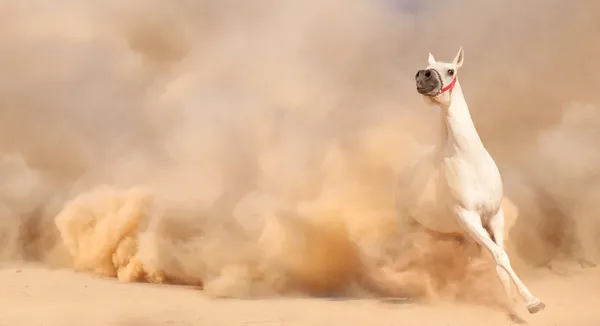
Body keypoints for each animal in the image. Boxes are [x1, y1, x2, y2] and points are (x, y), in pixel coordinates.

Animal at [396, 47, 548, 314]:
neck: (469, 161)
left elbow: (499, 256)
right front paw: (531, 302)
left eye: (450, 70)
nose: (423, 76)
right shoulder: (469, 218)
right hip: (411, 223)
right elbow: (500, 256)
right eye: (429, 69)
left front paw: (512, 303)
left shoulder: (494, 216)